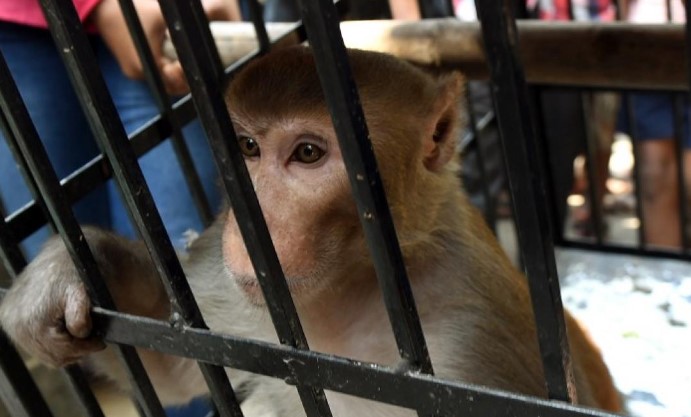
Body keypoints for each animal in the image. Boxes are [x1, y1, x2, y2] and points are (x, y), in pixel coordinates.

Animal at [0, 46, 620, 416]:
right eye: (248, 147)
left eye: (307, 154)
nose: (251, 228)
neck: (351, 291)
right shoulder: (227, 286)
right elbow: (176, 364)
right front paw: (62, 275)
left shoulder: (477, 336)